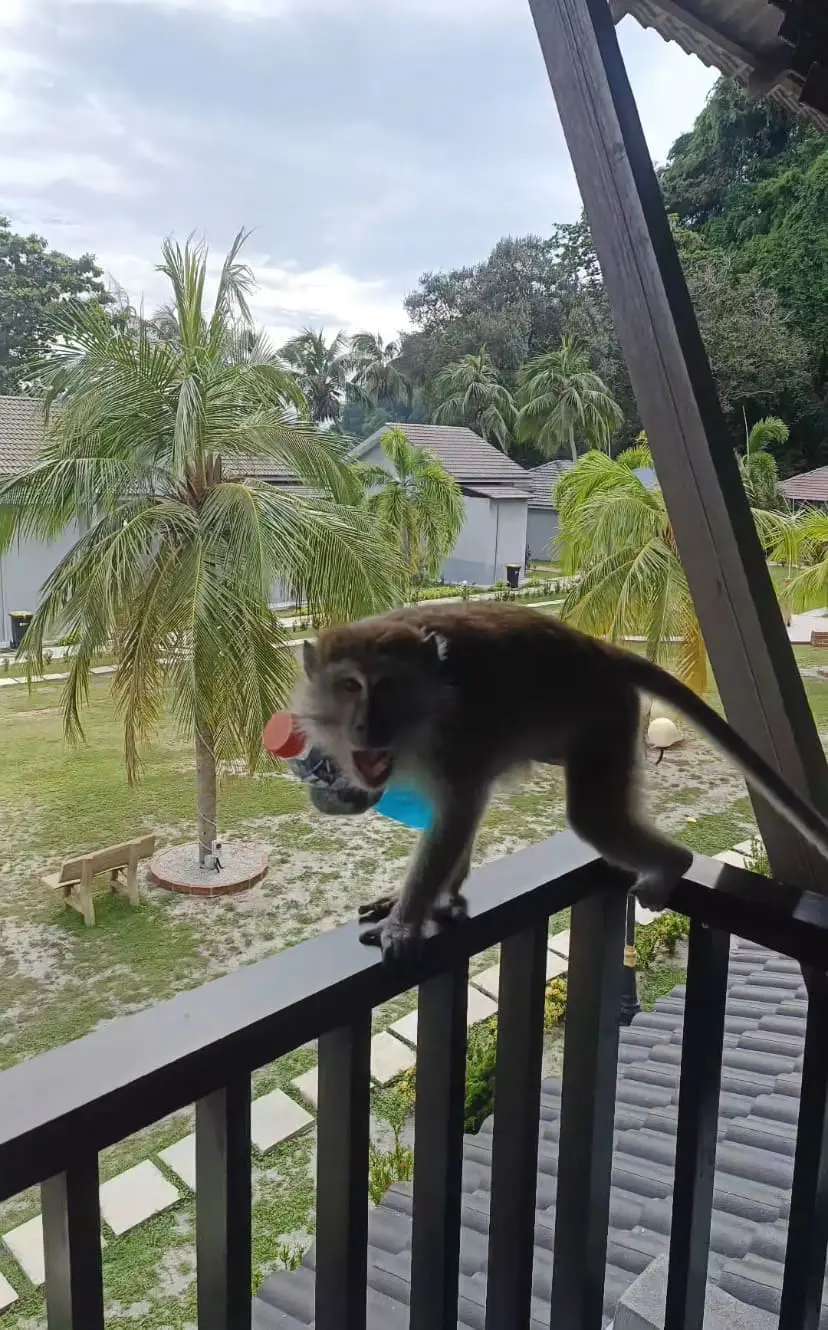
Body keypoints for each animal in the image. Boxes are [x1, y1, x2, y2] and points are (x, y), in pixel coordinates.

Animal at [291, 600, 828, 963]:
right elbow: (459, 817)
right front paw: (438, 898)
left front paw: (407, 920)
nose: (367, 727)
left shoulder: (456, 740)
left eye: (387, 686)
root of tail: (596, 648)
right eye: (350, 686)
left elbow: (458, 811)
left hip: (607, 713)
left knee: (594, 817)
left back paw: (674, 864)